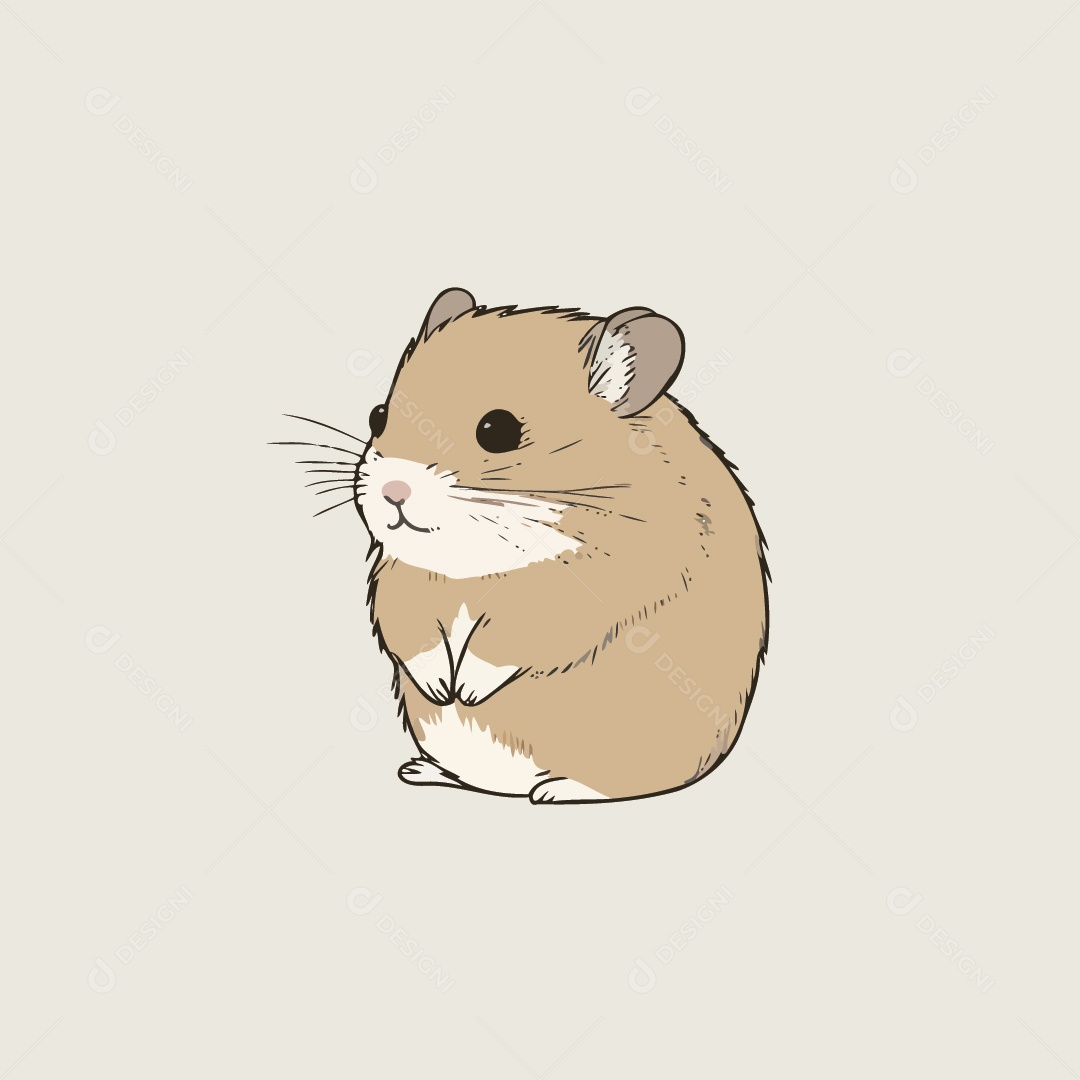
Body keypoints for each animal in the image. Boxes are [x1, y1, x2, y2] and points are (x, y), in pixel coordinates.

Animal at [326, 288, 767, 803]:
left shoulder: (581, 586)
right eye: (378, 416)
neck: (477, 555)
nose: (393, 491)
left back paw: (552, 790)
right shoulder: (403, 578)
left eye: (498, 430)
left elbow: (508, 641)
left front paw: (465, 692)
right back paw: (422, 770)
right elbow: (414, 636)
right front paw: (441, 689)